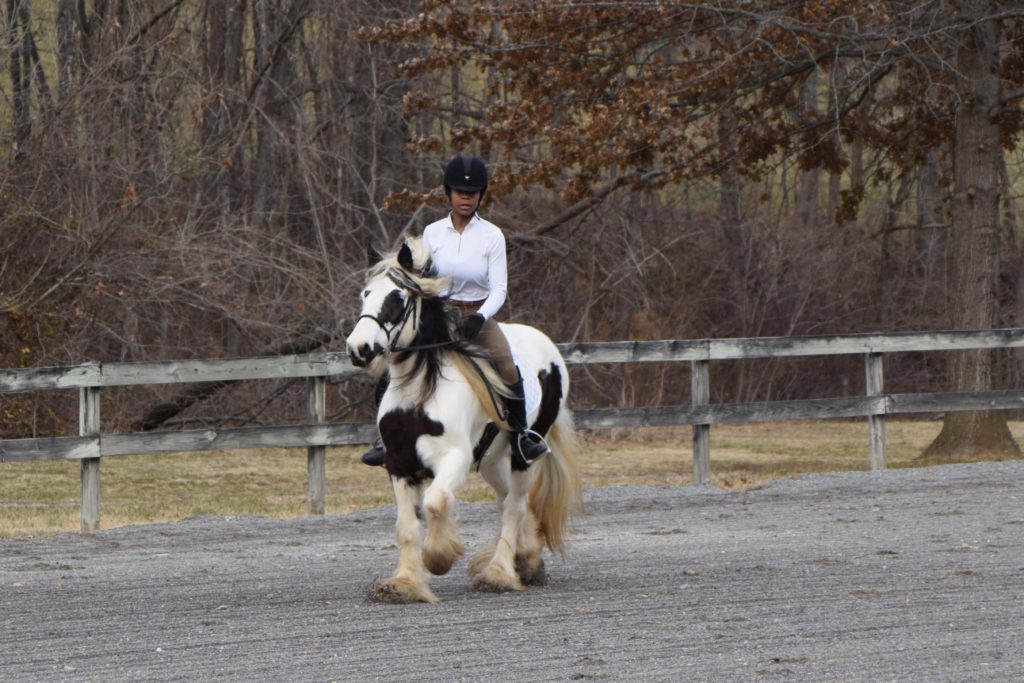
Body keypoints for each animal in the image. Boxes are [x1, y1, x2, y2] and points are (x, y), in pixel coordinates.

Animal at [346, 236, 581, 602]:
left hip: (523, 455)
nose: (358, 348)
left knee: (514, 505)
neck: (421, 390)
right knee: (509, 500)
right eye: (365, 294)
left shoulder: (454, 459)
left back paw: (499, 573)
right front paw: (404, 584)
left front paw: (438, 558)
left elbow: (435, 502)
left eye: (397, 298)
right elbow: (406, 526)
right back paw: (527, 562)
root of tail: (547, 346)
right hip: (492, 460)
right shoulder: (398, 463)